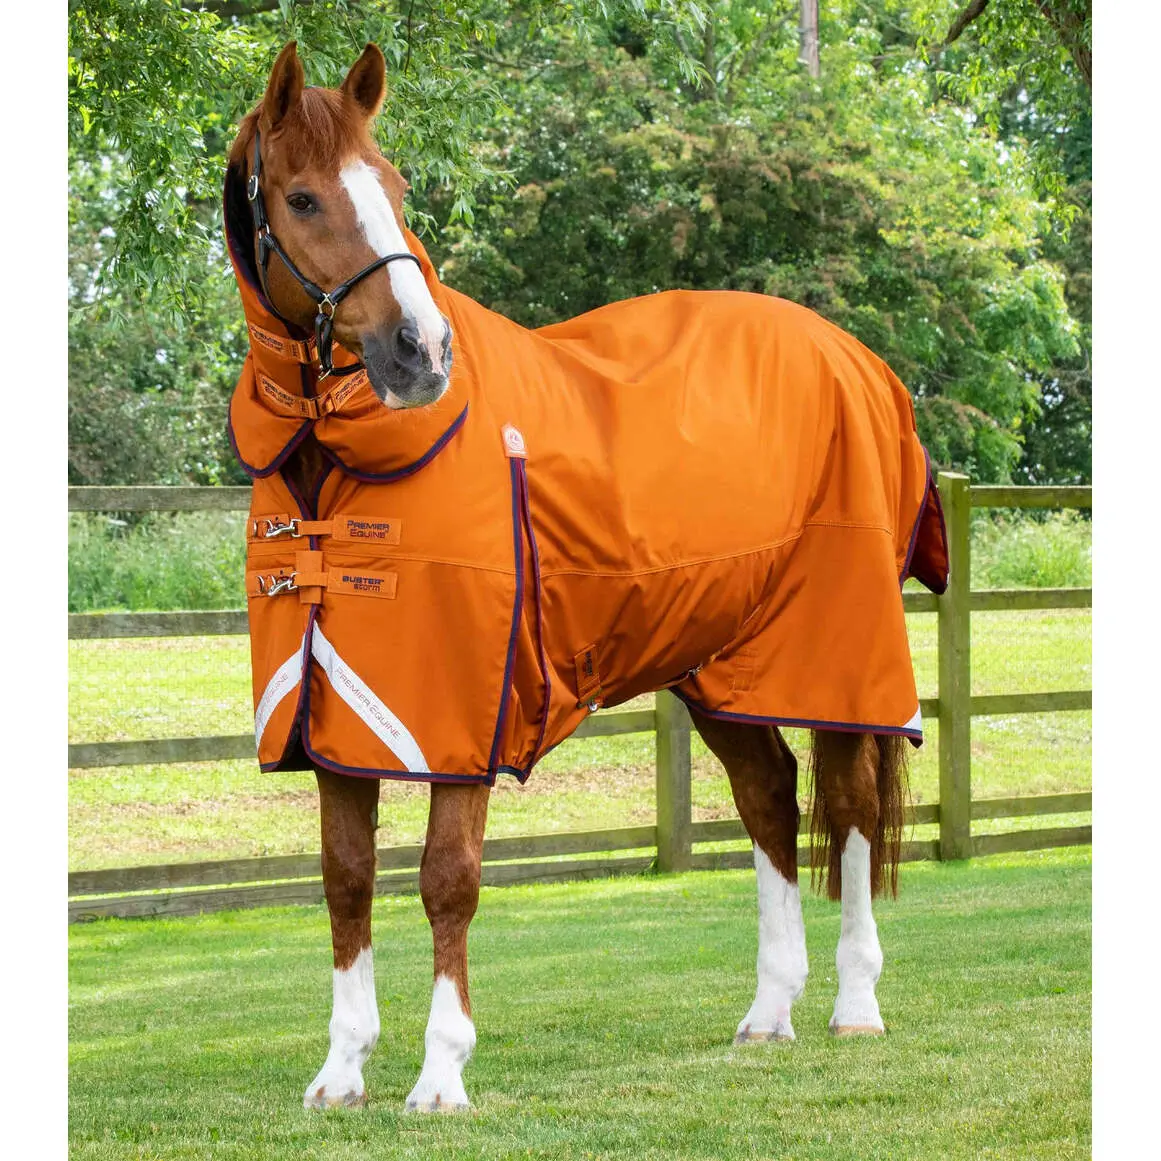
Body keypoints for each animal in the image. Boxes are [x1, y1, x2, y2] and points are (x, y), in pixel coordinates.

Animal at [222, 41, 948, 1112]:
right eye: (304, 197)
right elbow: (346, 876)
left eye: (393, 186)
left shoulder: (460, 717)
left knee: (849, 806)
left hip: (834, 655)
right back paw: (768, 1011)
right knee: (770, 797)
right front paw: (340, 1070)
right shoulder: (335, 720)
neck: (341, 461)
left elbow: (446, 877)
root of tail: (860, 362)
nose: (419, 352)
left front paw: (440, 1073)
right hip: (720, 665)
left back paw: (855, 1004)